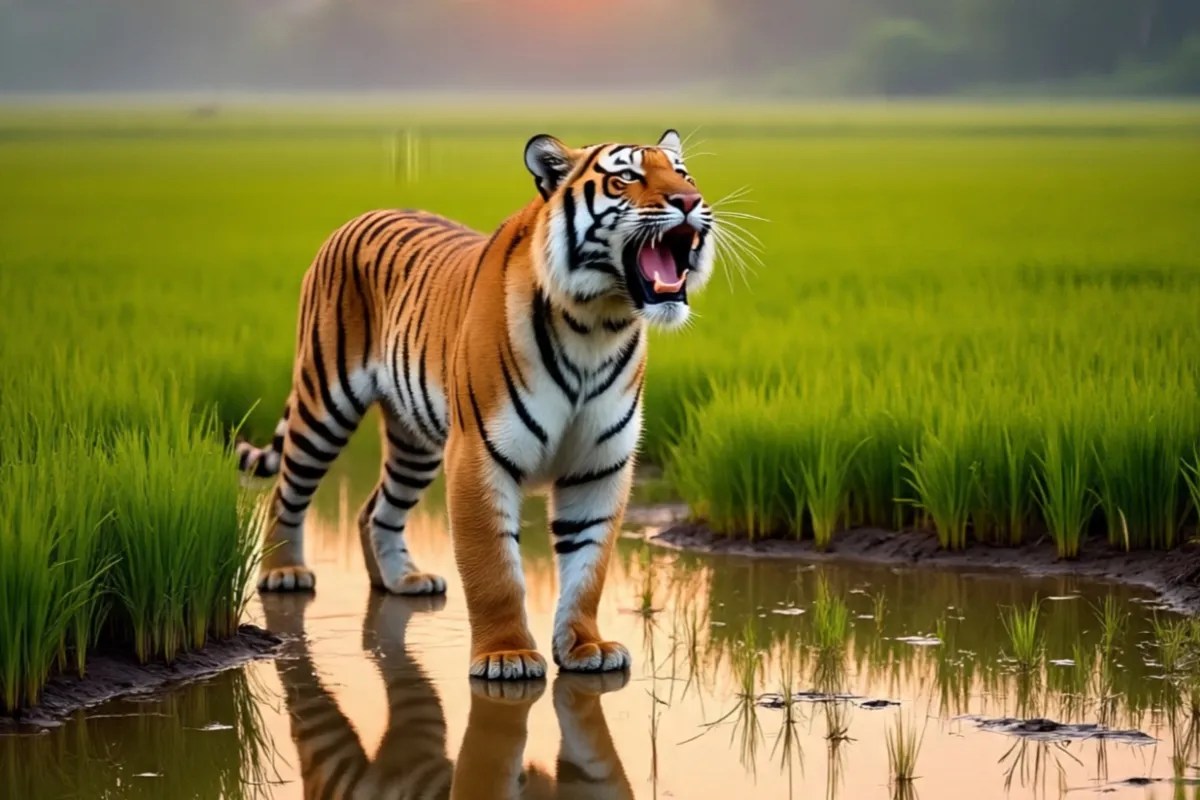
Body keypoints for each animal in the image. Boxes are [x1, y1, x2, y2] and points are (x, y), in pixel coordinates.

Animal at [237, 129, 716, 680]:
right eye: (626, 178)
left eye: (684, 175)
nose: (689, 202)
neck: (597, 324)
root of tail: (360, 215)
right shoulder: (479, 455)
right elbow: (494, 570)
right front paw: (506, 655)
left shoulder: (599, 465)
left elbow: (587, 568)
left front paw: (586, 647)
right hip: (325, 403)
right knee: (287, 491)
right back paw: (285, 573)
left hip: (415, 441)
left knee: (377, 510)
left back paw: (401, 581)